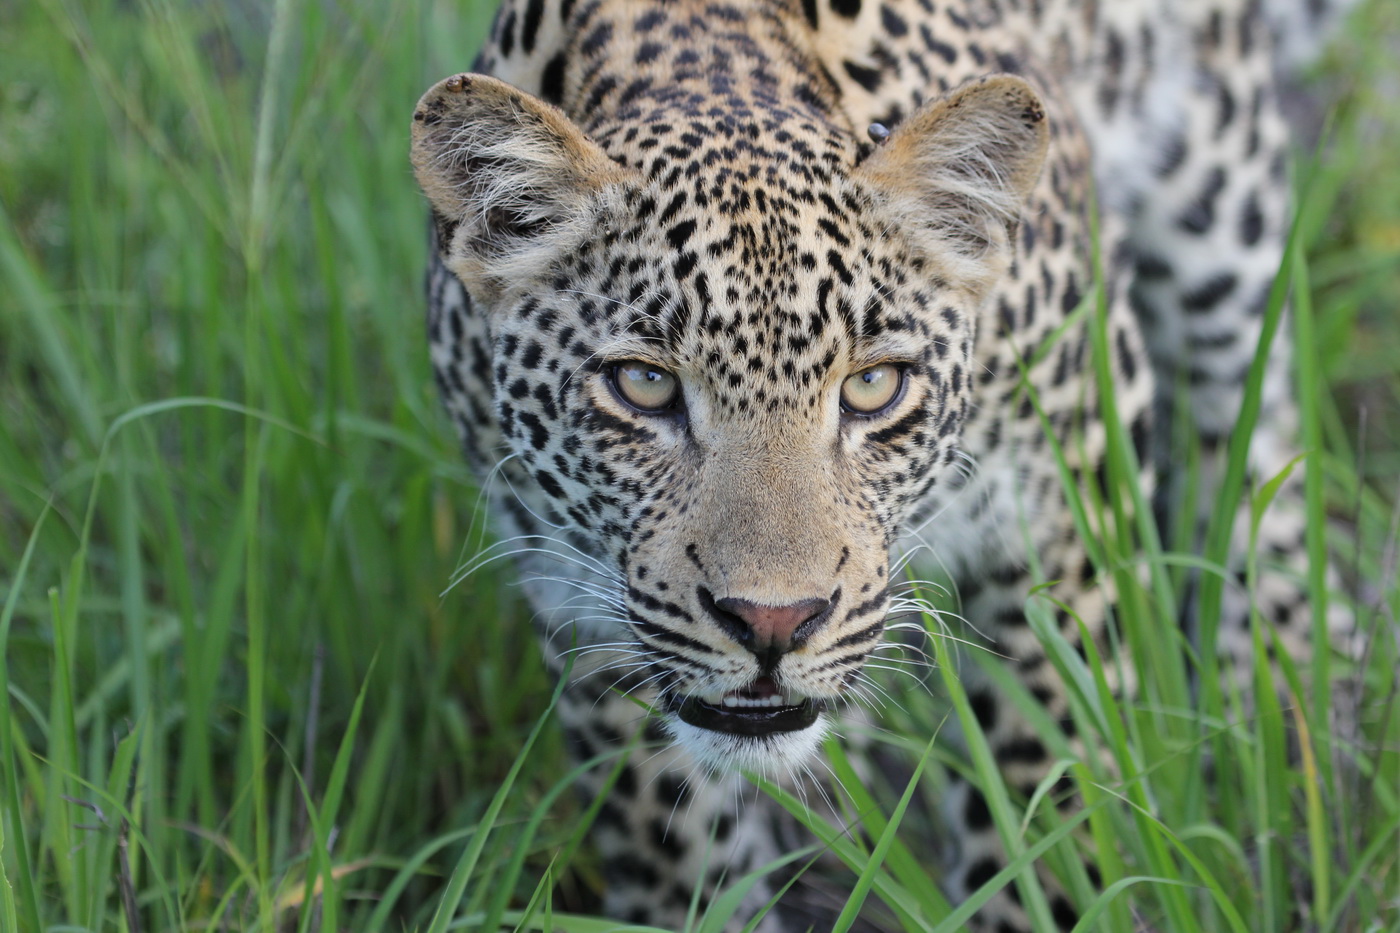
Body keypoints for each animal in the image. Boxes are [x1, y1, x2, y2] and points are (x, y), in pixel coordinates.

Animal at [408, 0, 1349, 924]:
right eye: (643, 385)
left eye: (872, 386)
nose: (773, 623)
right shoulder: (581, 601)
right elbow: (674, 849)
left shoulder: (1065, 517)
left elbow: (1048, 800)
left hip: (1219, 205)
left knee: (1258, 439)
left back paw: (1287, 717)